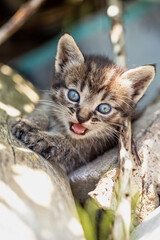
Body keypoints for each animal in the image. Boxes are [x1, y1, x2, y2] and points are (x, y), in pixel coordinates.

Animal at [11, 33, 156, 173]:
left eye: (104, 108)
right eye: (73, 95)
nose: (81, 118)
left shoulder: (89, 151)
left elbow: (71, 147)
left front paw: (44, 139)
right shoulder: (49, 99)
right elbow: (43, 110)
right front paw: (29, 122)